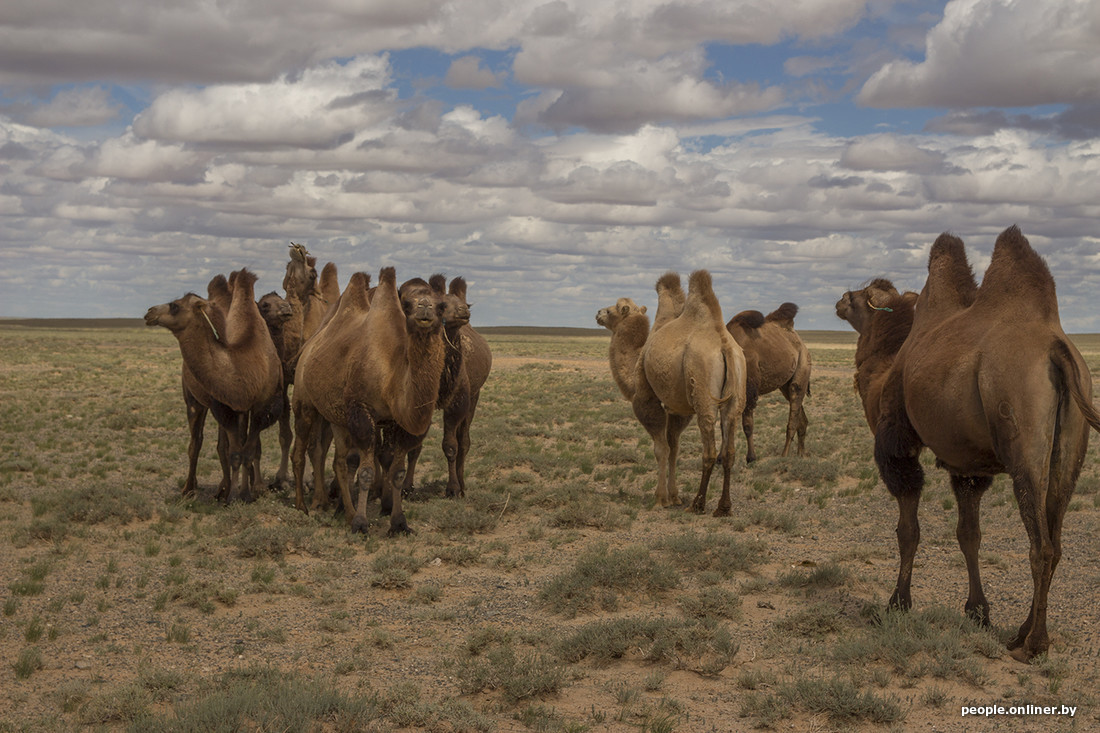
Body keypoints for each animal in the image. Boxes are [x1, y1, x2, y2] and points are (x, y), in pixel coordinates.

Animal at [145, 267, 283, 501]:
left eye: (174, 306)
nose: (149, 312)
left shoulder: (259, 406)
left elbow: (248, 450)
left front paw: (248, 492)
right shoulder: (222, 406)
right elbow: (233, 452)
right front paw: (231, 496)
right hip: (194, 400)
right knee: (198, 443)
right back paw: (192, 488)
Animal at [294, 267, 448, 530]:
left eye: (441, 306)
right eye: (407, 304)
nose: (425, 307)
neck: (390, 374)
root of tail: (309, 346)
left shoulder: (396, 421)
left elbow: (396, 472)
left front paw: (398, 522)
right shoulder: (362, 411)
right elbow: (366, 472)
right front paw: (361, 523)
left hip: (337, 416)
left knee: (340, 461)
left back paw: (344, 512)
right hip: (303, 401)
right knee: (301, 450)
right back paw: (303, 506)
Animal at [629, 268, 748, 512]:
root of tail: (724, 345)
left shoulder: (647, 392)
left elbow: (661, 446)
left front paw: (661, 498)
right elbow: (672, 446)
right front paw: (670, 496)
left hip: (703, 389)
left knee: (709, 450)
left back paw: (697, 504)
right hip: (737, 389)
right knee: (729, 450)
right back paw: (723, 507)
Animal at [726, 299, 814, 460]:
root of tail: (801, 342)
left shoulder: (749, 389)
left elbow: (747, 425)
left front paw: (751, 457)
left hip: (803, 366)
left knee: (793, 417)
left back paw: (784, 454)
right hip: (785, 384)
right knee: (801, 419)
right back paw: (800, 454)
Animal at [831, 225, 1100, 660]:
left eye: (859, 296)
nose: (839, 299)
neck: (886, 365)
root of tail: (1056, 350)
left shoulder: (898, 445)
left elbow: (908, 530)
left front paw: (897, 603)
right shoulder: (968, 465)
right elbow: (968, 535)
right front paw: (978, 611)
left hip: (1022, 436)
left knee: (1040, 544)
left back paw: (1034, 643)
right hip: (1072, 443)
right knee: (1056, 538)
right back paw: (1020, 632)